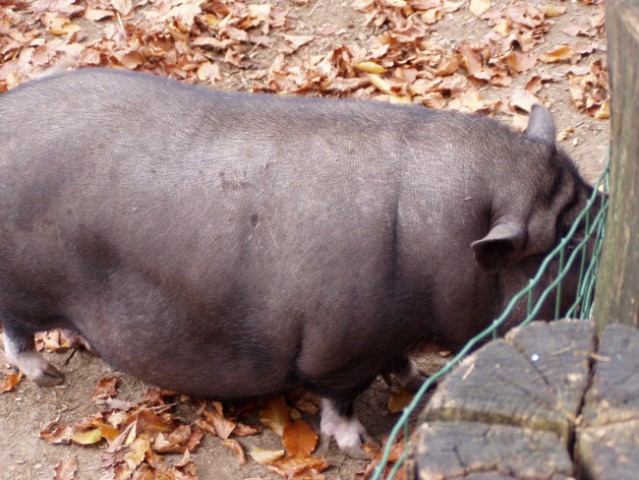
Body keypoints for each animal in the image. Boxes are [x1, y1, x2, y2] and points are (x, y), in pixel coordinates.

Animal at [0, 67, 596, 458]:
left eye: (591, 198)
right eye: (564, 241)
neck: (442, 242)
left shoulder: (387, 334)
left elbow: (397, 362)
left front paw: (413, 380)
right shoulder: (341, 346)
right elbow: (340, 398)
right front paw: (359, 446)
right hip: (19, 286)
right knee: (15, 333)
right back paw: (50, 375)